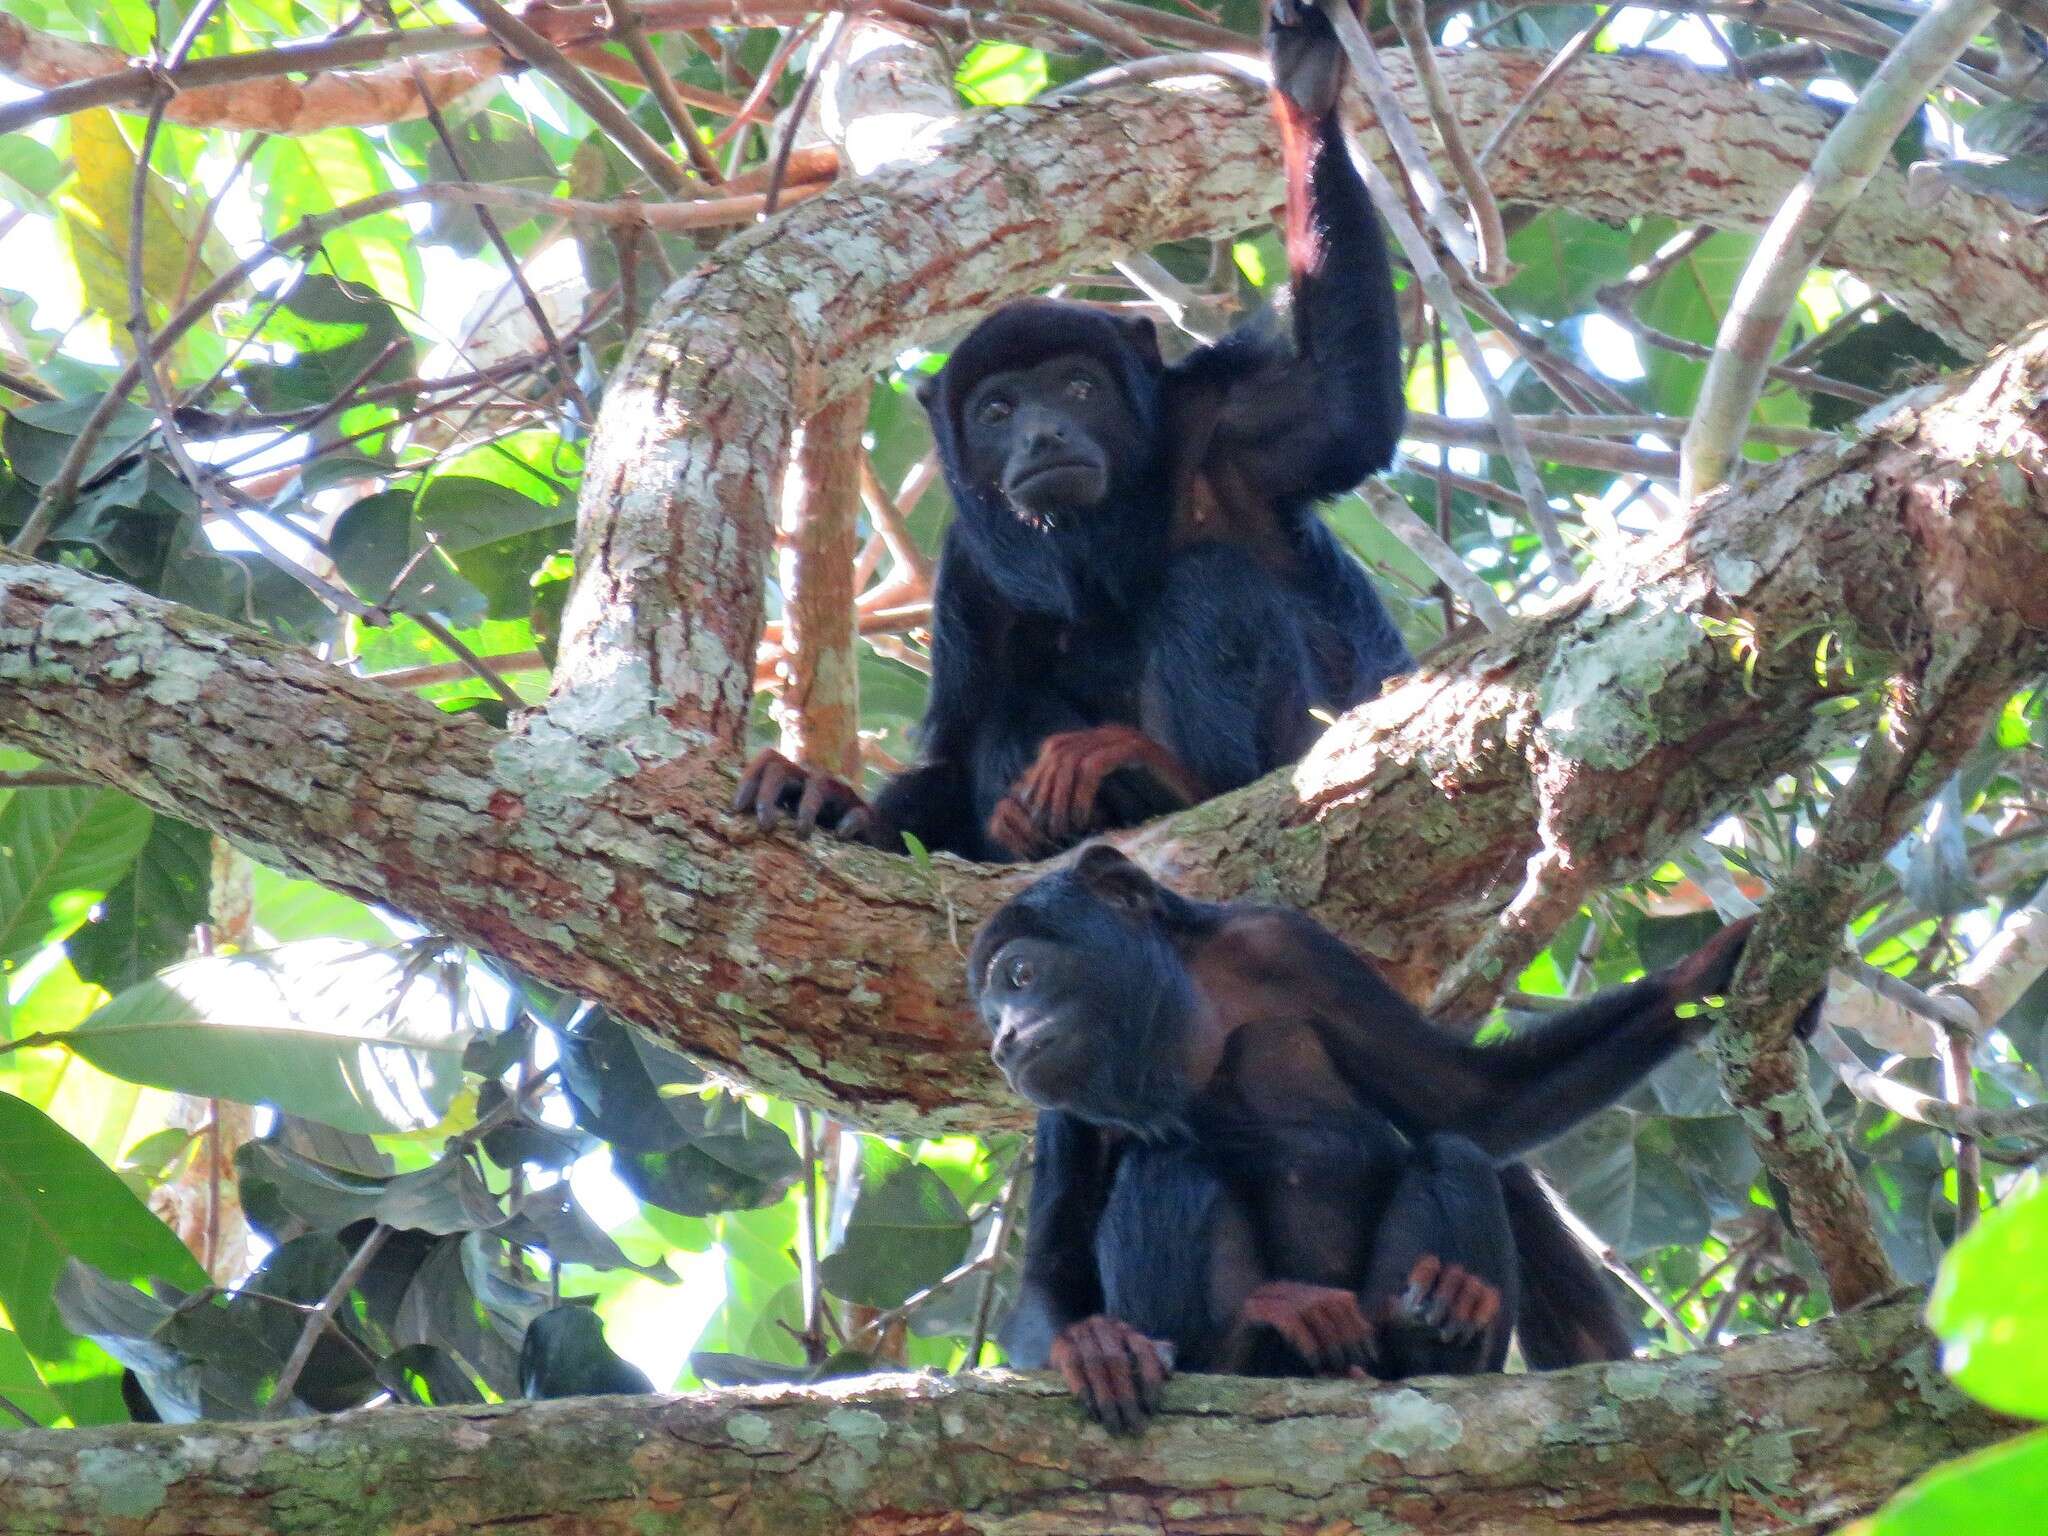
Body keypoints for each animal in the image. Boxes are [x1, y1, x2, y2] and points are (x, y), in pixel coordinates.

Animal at [729, 0, 1417, 868]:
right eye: (997, 412)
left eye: (1079, 389)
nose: (1045, 436)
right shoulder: (970, 575)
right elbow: (958, 748)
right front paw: (823, 797)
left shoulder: (1223, 426)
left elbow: (1346, 408)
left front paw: (1306, 92)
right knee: (1012, 705)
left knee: (1210, 581)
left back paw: (1162, 777)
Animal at [966, 847, 1753, 1441]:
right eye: (993, 1010)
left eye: (1021, 975)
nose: (1004, 1041)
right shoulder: (1061, 1111)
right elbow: (1051, 1278)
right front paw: (1088, 1345)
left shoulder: (1284, 943)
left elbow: (1471, 1103)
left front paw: (1708, 971)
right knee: (1169, 1165)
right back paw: (1261, 1328)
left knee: (1452, 1154)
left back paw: (1438, 1325)